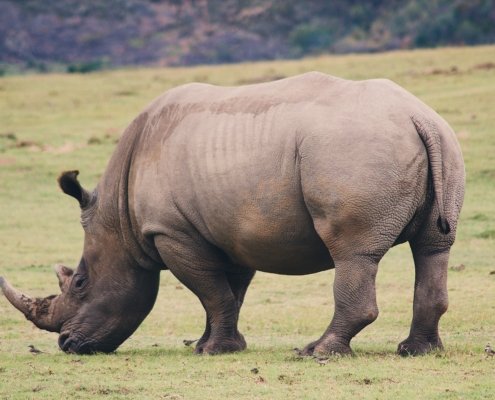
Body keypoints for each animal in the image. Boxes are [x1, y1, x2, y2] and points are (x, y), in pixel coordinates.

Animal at [0, 72, 464, 356]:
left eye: (80, 283)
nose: (67, 345)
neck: (119, 216)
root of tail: (417, 115)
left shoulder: (170, 232)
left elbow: (213, 292)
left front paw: (213, 349)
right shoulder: (232, 232)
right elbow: (227, 293)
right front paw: (212, 346)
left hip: (352, 150)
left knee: (353, 252)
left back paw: (317, 353)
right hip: (442, 141)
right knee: (433, 248)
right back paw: (416, 351)